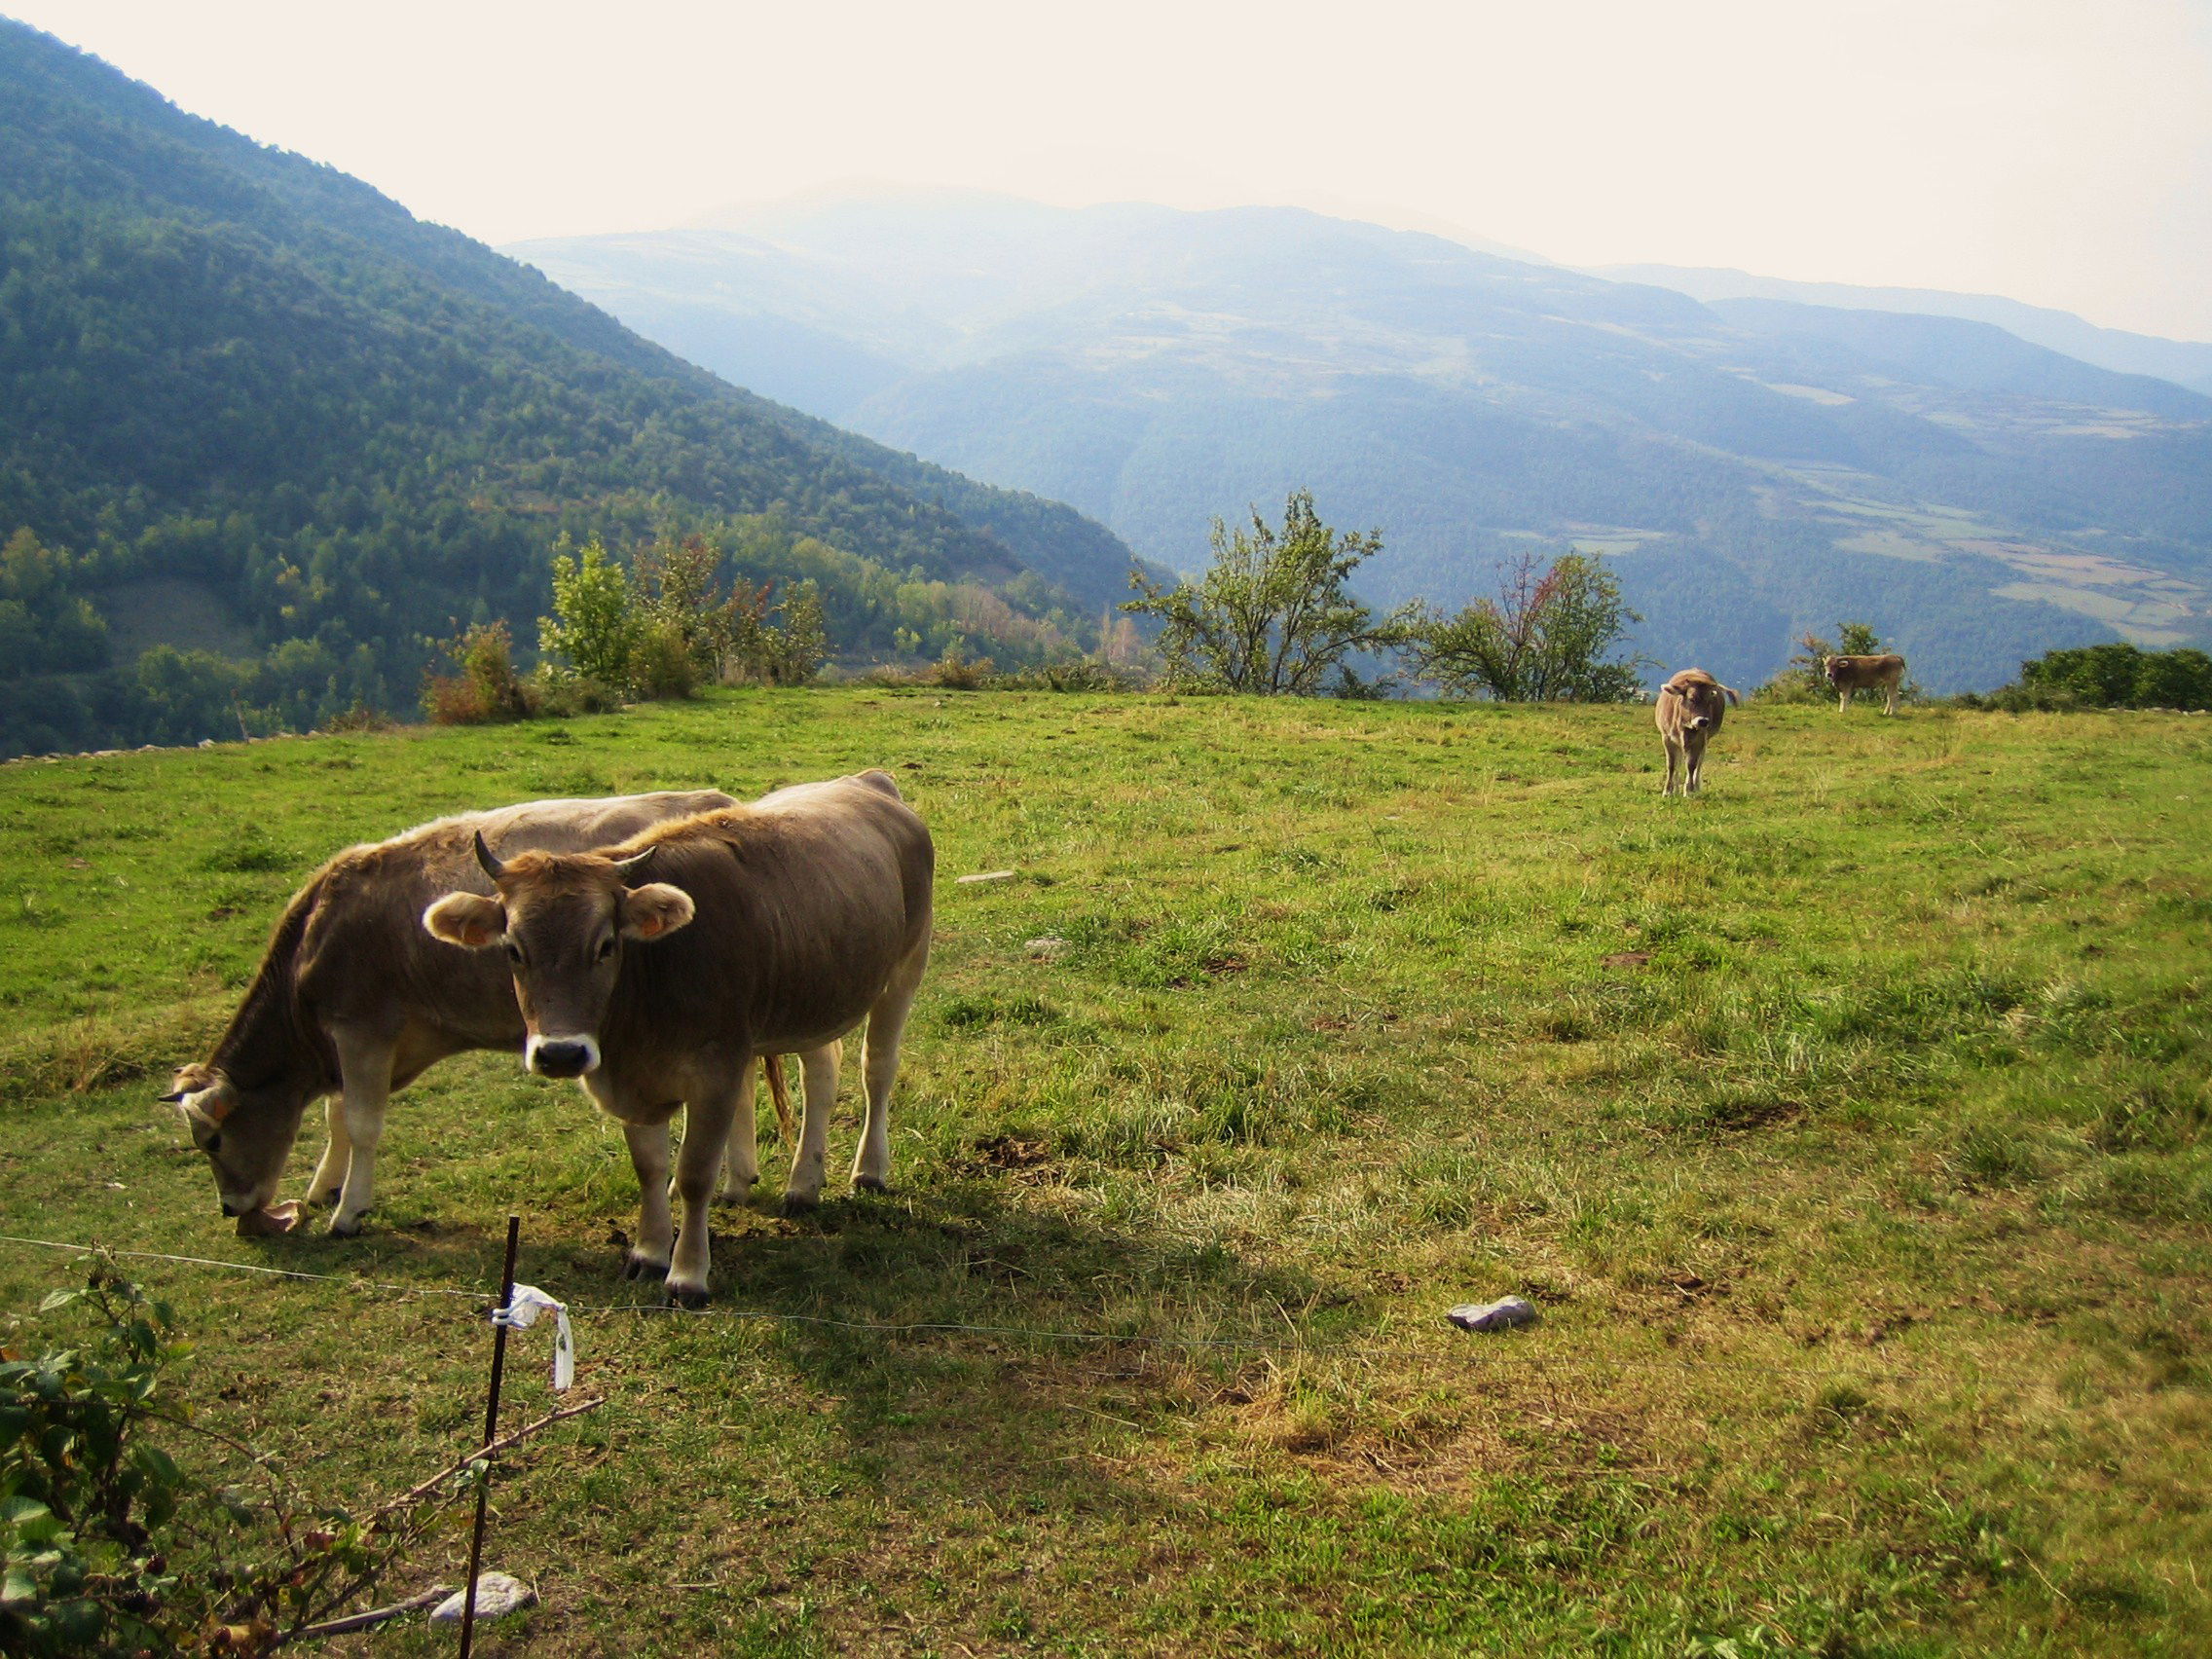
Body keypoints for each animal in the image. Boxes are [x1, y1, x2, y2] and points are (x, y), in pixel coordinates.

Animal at [160, 787, 743, 1238]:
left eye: (212, 1140)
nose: (230, 1208)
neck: (321, 930)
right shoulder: (355, 1042)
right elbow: (336, 1117)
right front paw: (325, 1186)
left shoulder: (361, 1029)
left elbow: (361, 1123)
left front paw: (349, 1211)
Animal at [420, 774, 933, 1309]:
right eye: (514, 949)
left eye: (605, 944)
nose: (560, 1053)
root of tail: (865, 781)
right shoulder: (634, 1085)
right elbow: (649, 1168)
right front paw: (648, 1253)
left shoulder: (715, 1070)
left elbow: (693, 1172)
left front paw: (687, 1274)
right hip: (812, 997)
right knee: (821, 1077)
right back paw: (802, 1185)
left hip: (905, 967)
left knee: (876, 1068)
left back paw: (868, 1170)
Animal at [1654, 668, 1734, 800]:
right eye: (1691, 699)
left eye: (1709, 701)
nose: (1703, 721)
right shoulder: (1667, 738)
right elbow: (1671, 765)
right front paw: (1668, 791)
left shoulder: (1699, 740)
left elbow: (1692, 765)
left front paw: (1690, 790)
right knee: (1678, 762)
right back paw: (1676, 789)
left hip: (1705, 741)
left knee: (1699, 762)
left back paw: (1695, 786)